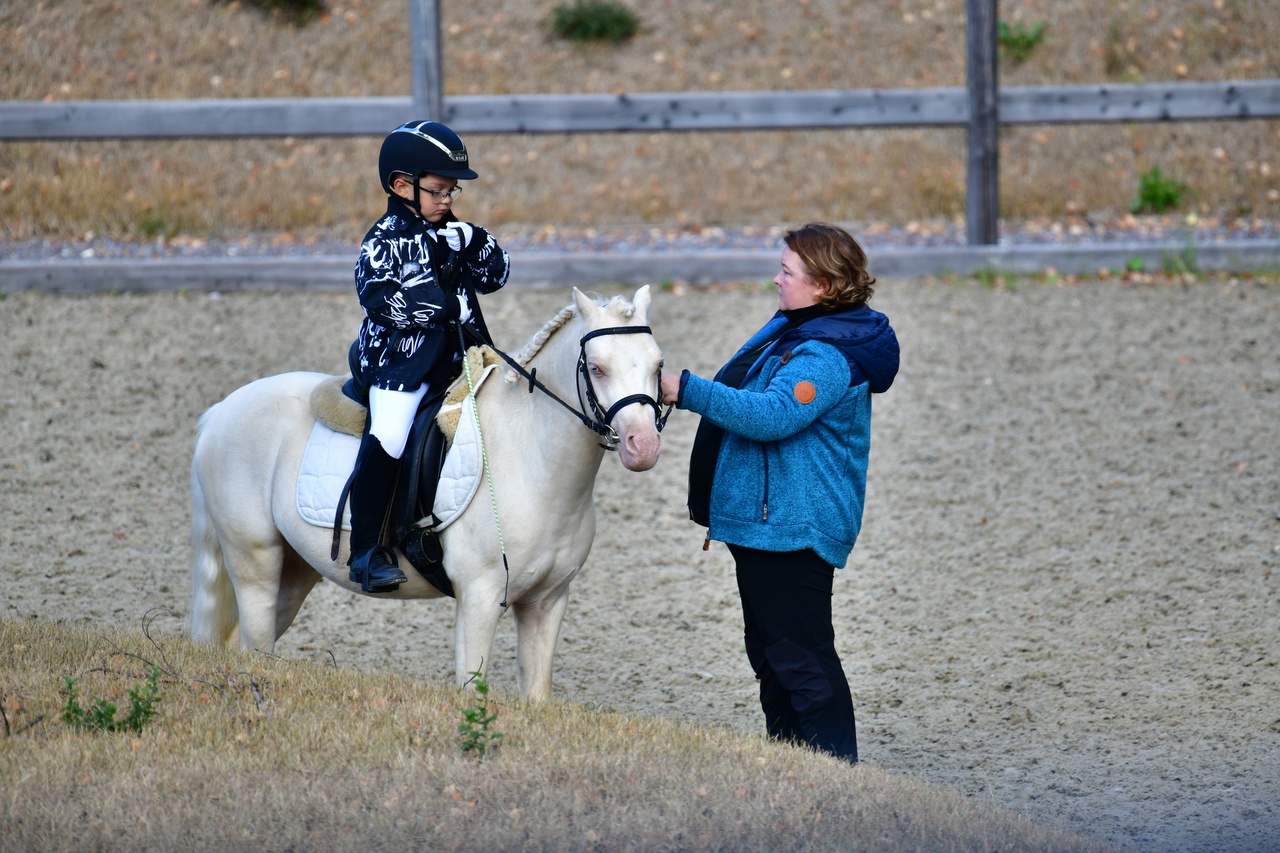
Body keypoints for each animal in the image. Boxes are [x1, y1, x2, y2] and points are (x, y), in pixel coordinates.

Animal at [190, 285, 670, 696]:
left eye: (658, 365)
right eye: (597, 368)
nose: (643, 446)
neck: (533, 458)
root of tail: (219, 411)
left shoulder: (546, 602)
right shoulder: (480, 596)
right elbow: (471, 688)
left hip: (294, 572)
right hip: (255, 561)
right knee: (254, 644)